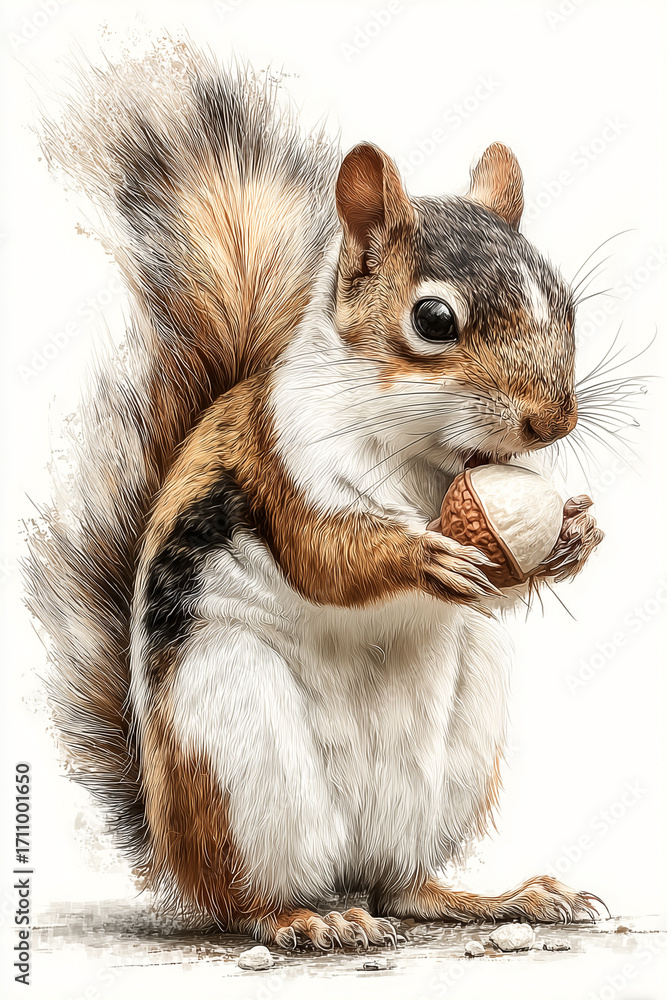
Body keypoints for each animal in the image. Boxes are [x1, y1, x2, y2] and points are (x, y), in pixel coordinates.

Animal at [26, 42, 605, 950]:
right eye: (433, 320)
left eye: (566, 303)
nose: (552, 420)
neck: (422, 454)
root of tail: (169, 841)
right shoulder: (284, 460)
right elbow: (322, 554)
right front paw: (421, 555)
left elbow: (506, 583)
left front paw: (575, 532)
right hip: (234, 749)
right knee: (245, 898)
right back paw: (309, 919)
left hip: (450, 760)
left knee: (404, 887)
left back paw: (497, 897)